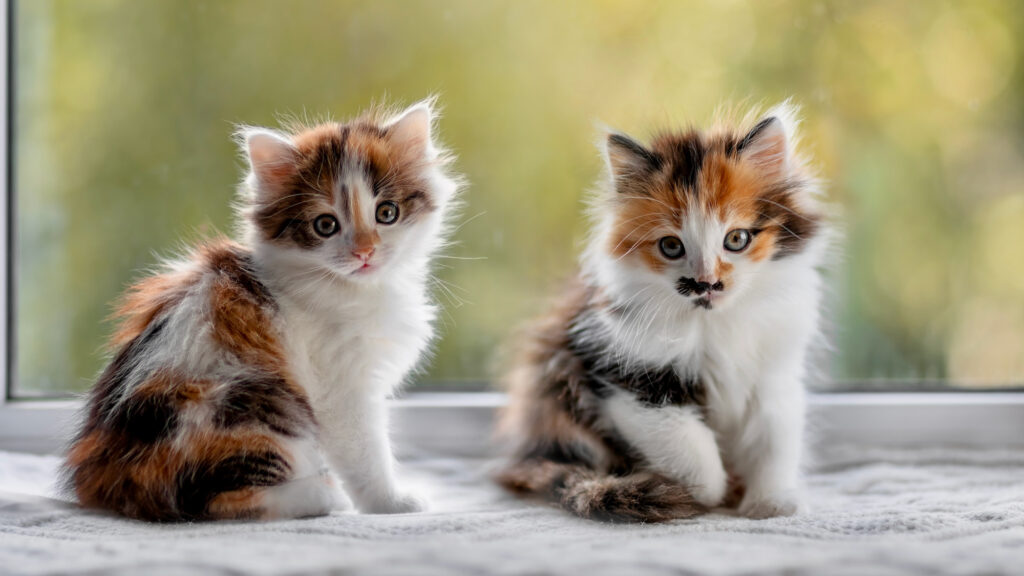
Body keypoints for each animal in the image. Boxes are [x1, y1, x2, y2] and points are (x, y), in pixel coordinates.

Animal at [65, 98, 460, 520]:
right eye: (325, 225)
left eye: (387, 213)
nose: (364, 252)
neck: (354, 289)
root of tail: (106, 479)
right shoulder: (340, 389)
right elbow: (366, 453)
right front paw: (391, 502)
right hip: (254, 405)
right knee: (212, 500)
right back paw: (323, 495)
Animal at [497, 101, 831, 520]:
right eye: (671, 246)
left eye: (736, 239)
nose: (707, 283)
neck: (716, 323)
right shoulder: (628, 380)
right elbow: (694, 453)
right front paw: (709, 495)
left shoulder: (774, 374)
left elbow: (775, 441)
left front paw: (770, 502)